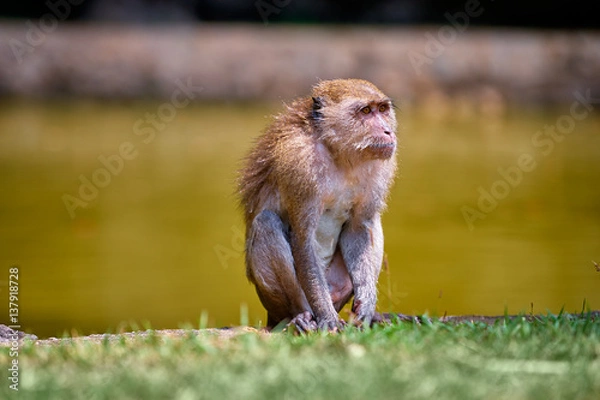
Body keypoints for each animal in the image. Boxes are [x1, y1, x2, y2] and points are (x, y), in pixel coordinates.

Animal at [239, 78, 398, 332]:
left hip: (338, 288)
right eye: (365, 111)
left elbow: (358, 228)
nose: (387, 131)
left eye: (382, 109)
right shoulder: (299, 164)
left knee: (372, 221)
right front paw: (327, 317)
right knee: (266, 222)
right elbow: (303, 240)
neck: (338, 152)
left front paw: (366, 305)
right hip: (276, 302)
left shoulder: (380, 167)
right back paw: (300, 316)